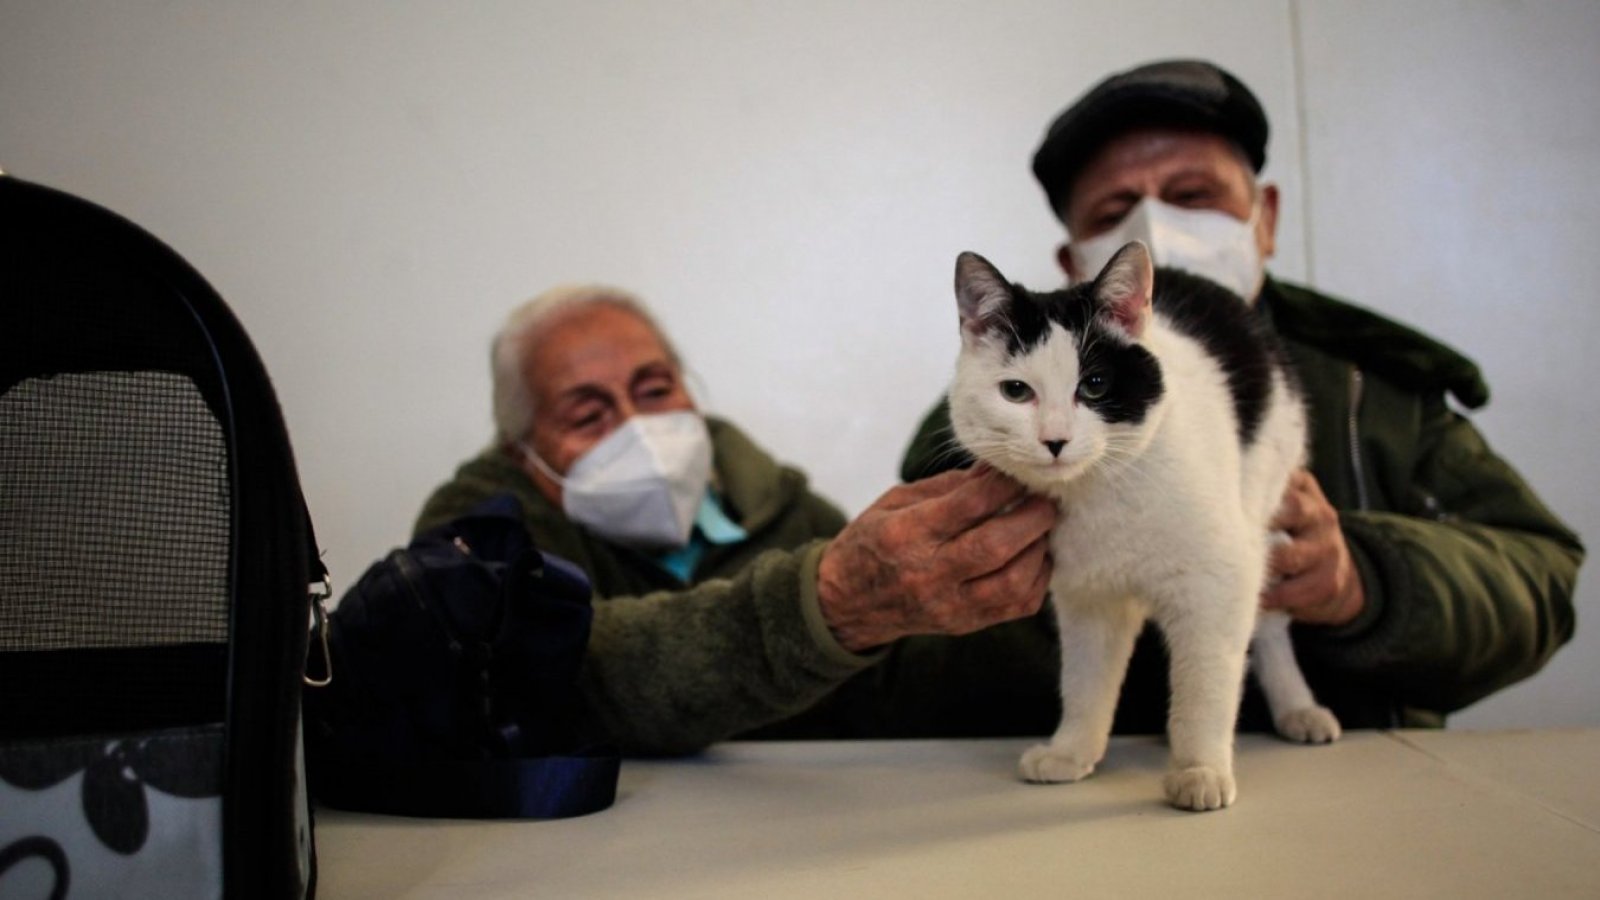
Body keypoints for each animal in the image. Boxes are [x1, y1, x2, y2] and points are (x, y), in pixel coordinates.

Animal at [947, 241, 1337, 810]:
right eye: (1016, 392)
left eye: (1095, 385)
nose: (1055, 440)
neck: (1100, 492)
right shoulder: (1088, 598)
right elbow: (1085, 681)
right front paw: (1071, 751)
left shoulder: (1218, 580)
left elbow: (1205, 683)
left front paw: (1200, 769)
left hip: (1265, 506)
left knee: (1268, 627)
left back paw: (1298, 708)